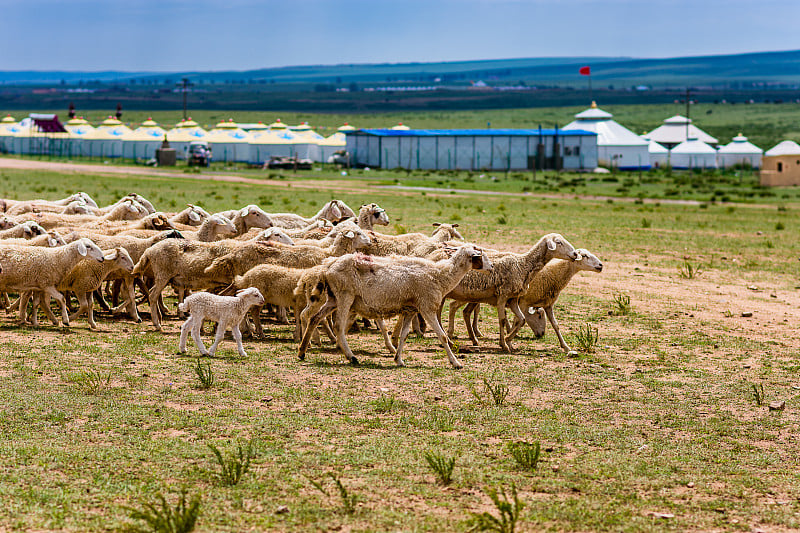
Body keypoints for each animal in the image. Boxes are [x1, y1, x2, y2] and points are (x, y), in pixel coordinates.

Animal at [296, 243, 490, 368]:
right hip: (345, 295)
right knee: (338, 326)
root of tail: (327, 265)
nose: (491, 267)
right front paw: (456, 362)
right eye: (480, 256)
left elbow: (403, 336)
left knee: (315, 318)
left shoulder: (411, 309)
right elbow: (442, 336)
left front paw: (399, 359)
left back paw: (302, 352)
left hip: (333, 298)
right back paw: (351, 357)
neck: (440, 275)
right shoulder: (426, 307)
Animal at [440, 234, 580, 354]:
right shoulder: (503, 296)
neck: (523, 265)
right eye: (558, 242)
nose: (575, 254)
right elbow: (502, 320)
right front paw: (504, 344)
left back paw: (457, 340)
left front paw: (508, 340)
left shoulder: (513, 299)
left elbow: (522, 319)